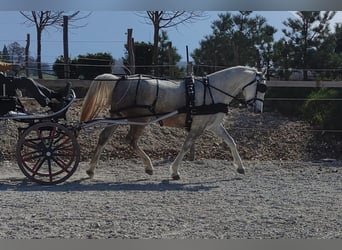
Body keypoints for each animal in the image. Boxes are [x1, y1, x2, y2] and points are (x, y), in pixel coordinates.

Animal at [80, 66, 268, 180]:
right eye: (262, 87)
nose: (258, 110)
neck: (212, 90)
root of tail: (121, 80)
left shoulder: (213, 125)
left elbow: (231, 141)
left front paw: (240, 167)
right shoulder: (198, 127)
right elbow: (186, 146)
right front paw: (175, 171)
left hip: (117, 117)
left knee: (104, 138)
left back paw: (91, 169)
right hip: (139, 119)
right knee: (131, 140)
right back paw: (148, 166)